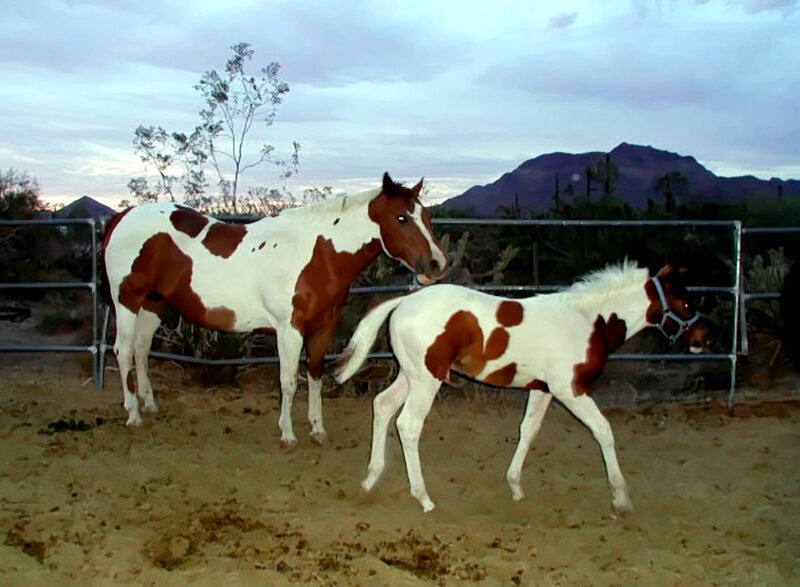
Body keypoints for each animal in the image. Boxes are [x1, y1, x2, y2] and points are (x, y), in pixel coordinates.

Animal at [101, 172, 447, 447]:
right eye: (401, 217)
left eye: (428, 217)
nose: (436, 264)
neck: (319, 254)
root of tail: (122, 218)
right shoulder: (289, 329)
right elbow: (288, 381)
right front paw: (288, 434)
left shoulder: (323, 327)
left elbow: (315, 374)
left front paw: (317, 429)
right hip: (127, 301)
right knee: (123, 351)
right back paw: (133, 413)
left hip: (153, 303)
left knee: (141, 350)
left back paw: (148, 404)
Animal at [335, 261, 710, 513]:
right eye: (686, 303)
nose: (703, 339)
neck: (587, 322)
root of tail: (403, 302)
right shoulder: (570, 390)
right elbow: (603, 431)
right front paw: (621, 498)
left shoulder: (543, 389)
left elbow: (528, 431)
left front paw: (515, 487)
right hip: (427, 380)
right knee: (409, 425)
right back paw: (424, 498)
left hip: (411, 374)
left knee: (383, 406)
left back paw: (370, 480)